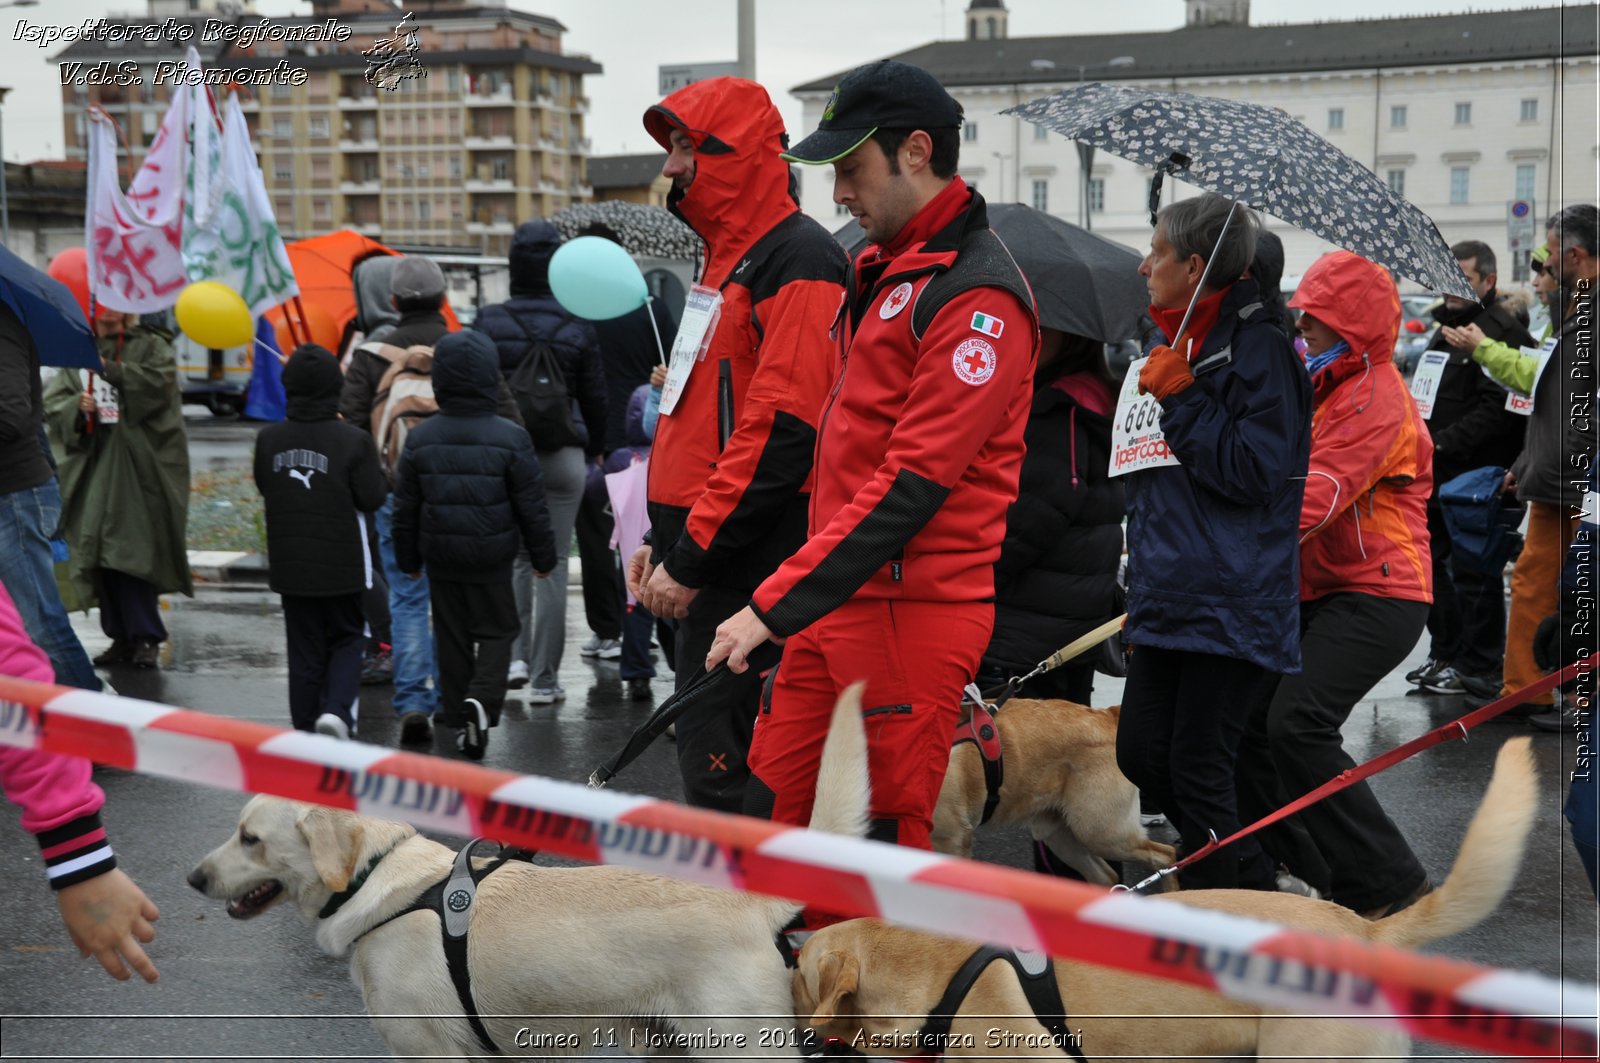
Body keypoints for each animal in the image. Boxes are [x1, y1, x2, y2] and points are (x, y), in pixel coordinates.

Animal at [190, 685, 876, 1056]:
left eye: (250, 838)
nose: (194, 879)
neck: (376, 879)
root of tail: (752, 901)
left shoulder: (429, 1051)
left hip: (739, 1044)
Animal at [928, 701, 1177, 883]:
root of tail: (1107, 714)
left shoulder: (951, 840)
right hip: (1061, 834)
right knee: (1107, 876)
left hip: (1101, 832)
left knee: (1165, 856)